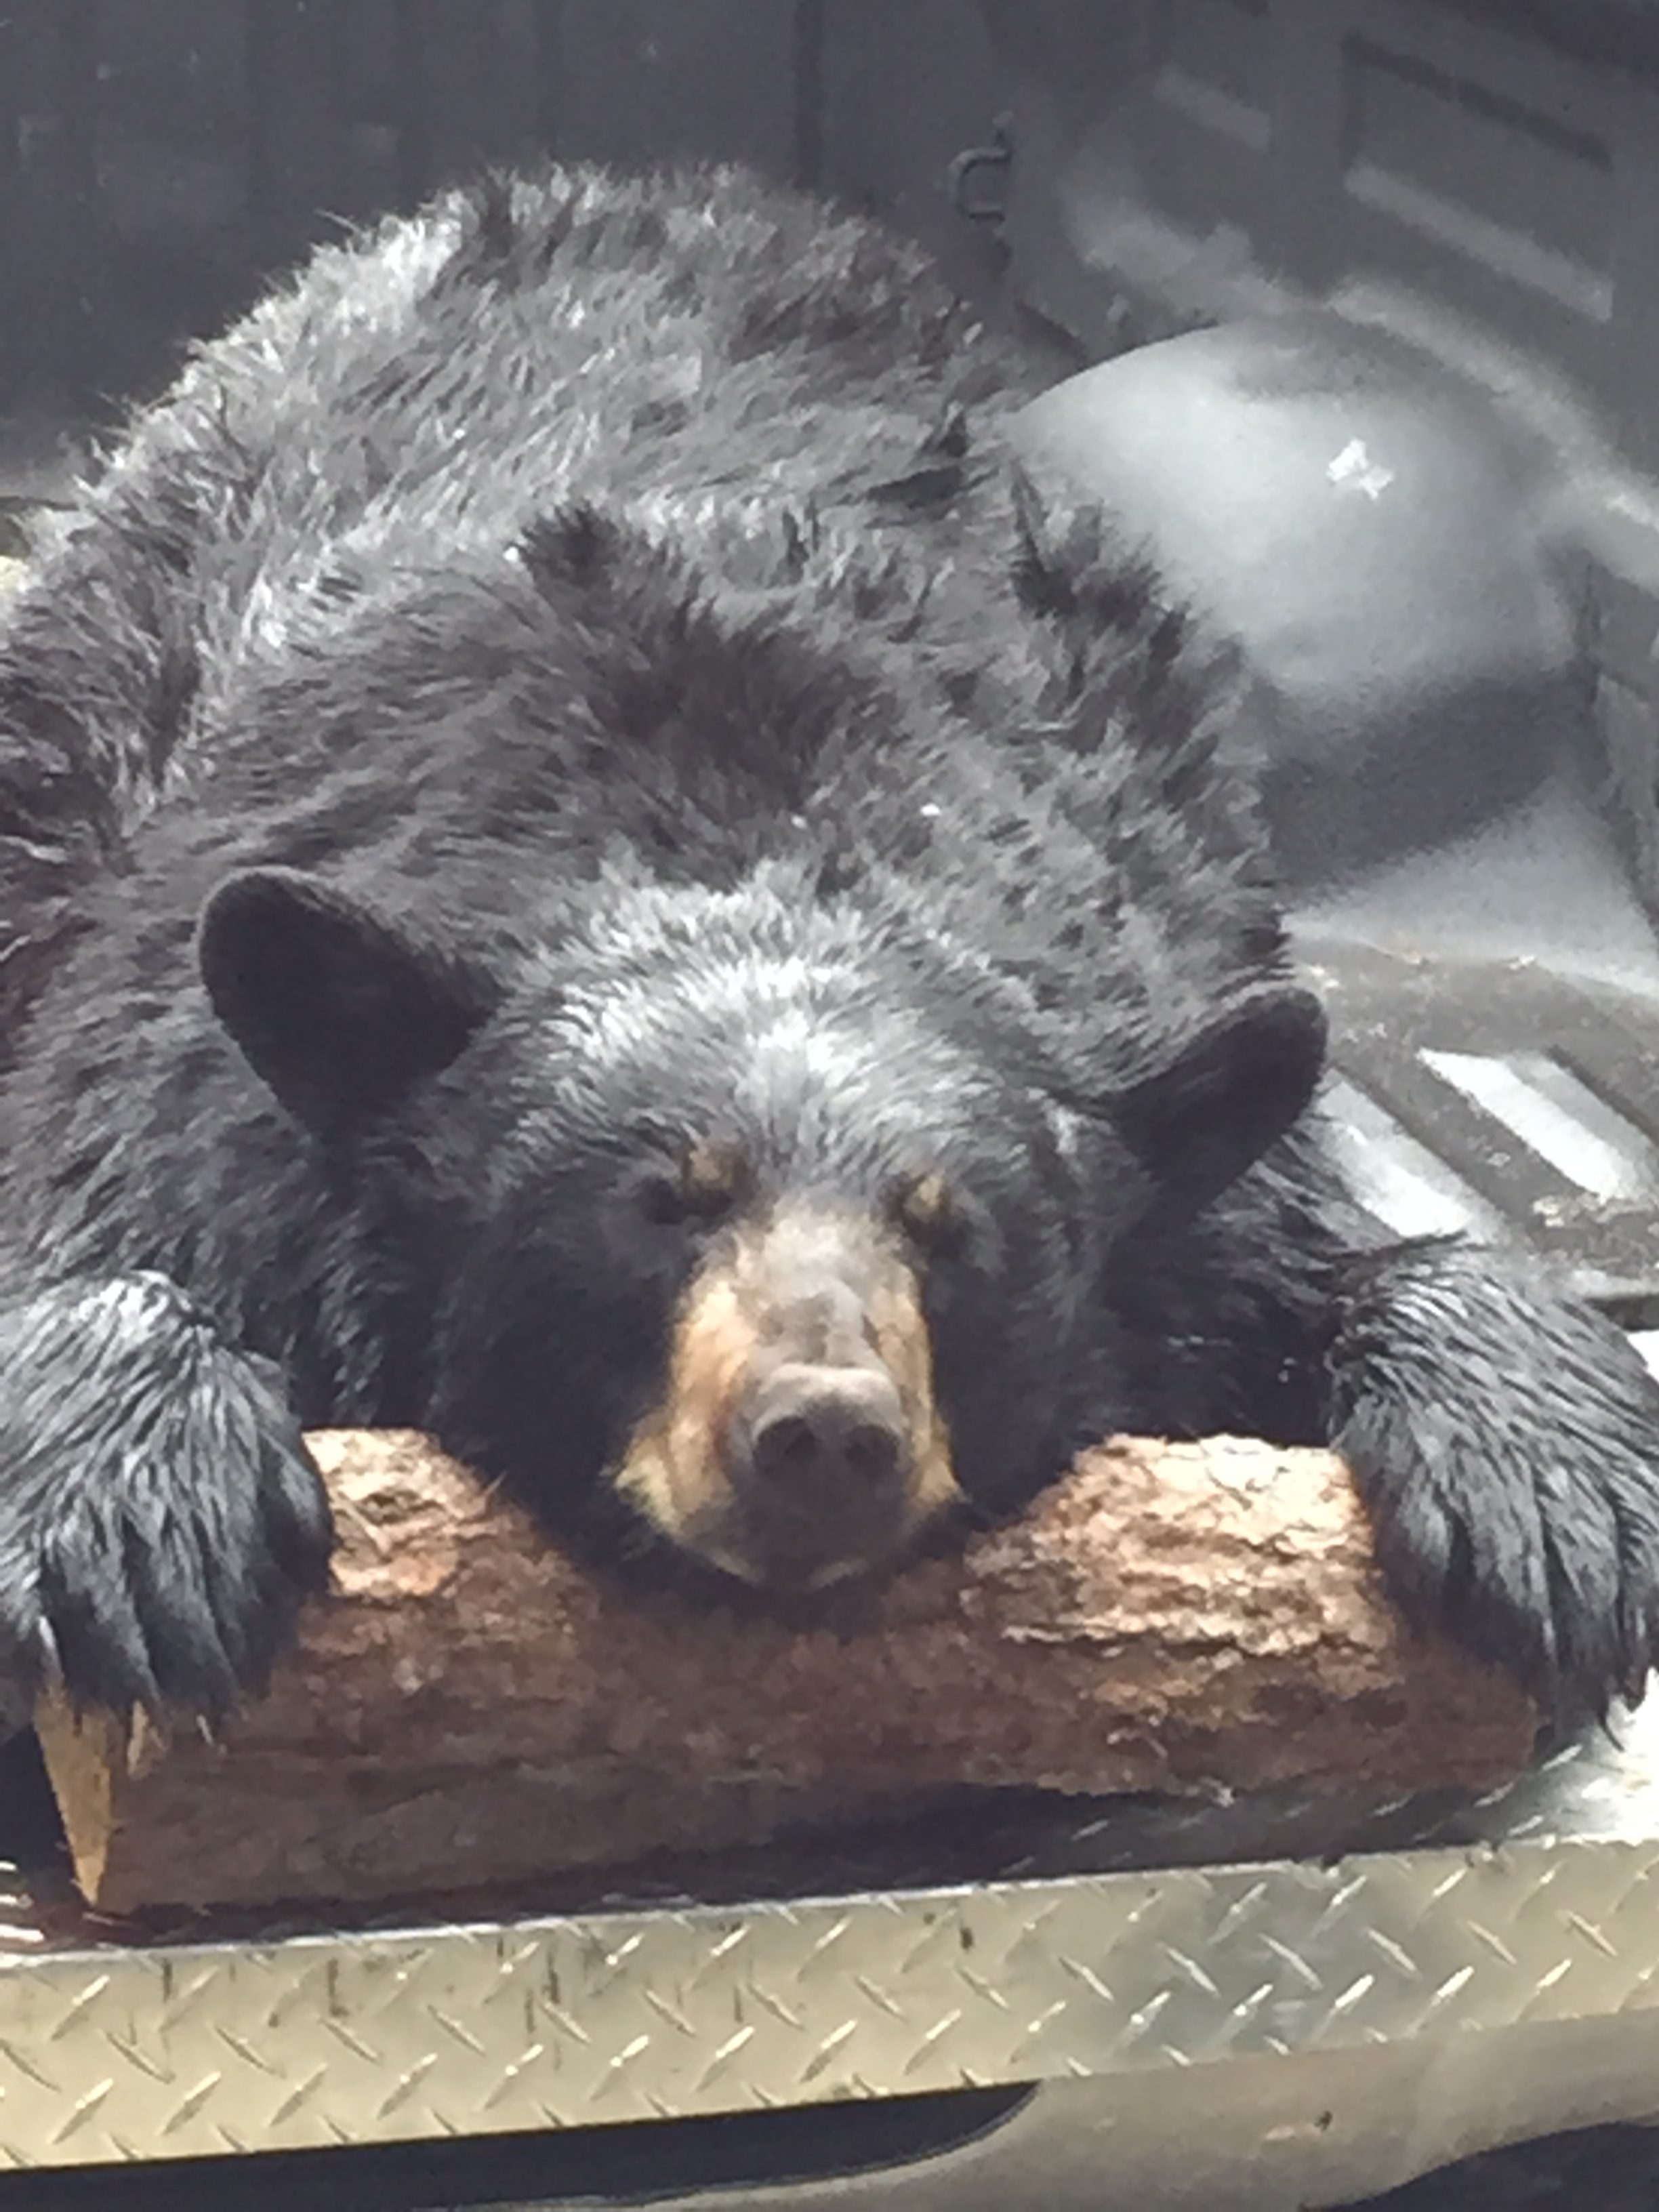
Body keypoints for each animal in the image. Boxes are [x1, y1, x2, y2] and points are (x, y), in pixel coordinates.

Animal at [0, 161, 1656, 1732]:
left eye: (953, 1227)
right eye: (657, 1201)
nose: (822, 1432)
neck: (758, 832)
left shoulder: (1183, 1028)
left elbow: (1302, 1251)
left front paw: (1551, 1489)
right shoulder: (176, 1067)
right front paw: (140, 1500)